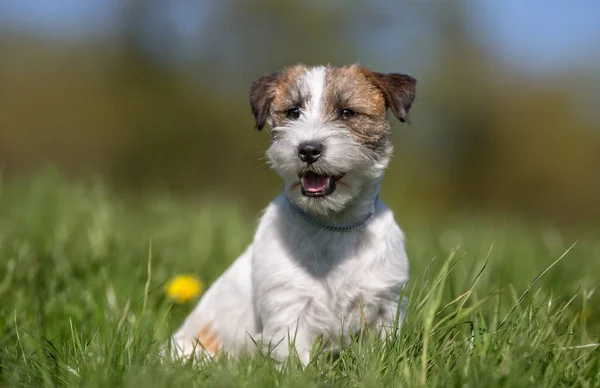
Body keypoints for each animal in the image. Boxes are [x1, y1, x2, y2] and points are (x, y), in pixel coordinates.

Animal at [166, 64, 414, 366]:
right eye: (294, 112)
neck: (332, 224)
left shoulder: (385, 303)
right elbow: (297, 361)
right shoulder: (288, 308)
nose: (308, 149)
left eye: (347, 112)